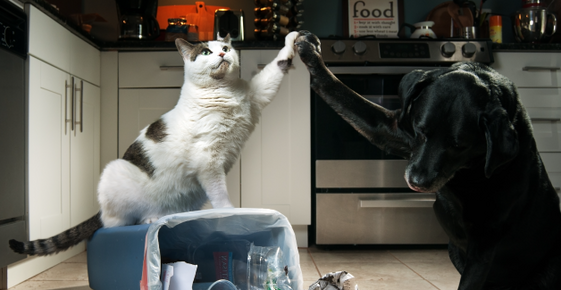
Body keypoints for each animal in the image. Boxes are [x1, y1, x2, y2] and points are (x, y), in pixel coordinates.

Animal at [8, 31, 300, 256]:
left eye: (226, 48)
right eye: (206, 52)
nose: (221, 55)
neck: (225, 93)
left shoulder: (258, 96)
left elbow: (276, 66)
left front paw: (292, 39)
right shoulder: (208, 161)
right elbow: (221, 196)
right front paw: (232, 214)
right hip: (114, 173)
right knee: (113, 225)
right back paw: (150, 218)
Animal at [298, 30, 561, 288]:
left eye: (459, 146)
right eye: (420, 130)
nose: (417, 182)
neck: (470, 171)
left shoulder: (485, 250)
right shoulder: (394, 128)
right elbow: (341, 91)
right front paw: (311, 52)